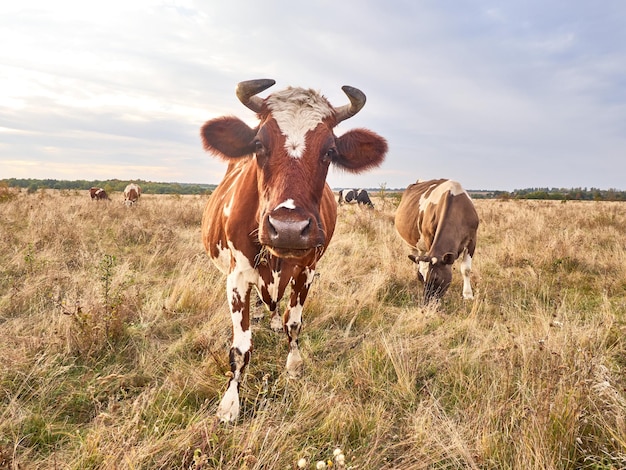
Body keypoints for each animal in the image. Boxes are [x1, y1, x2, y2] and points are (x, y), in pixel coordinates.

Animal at [200, 79, 386, 424]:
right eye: (259, 144)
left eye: (329, 151)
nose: (288, 227)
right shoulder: (236, 277)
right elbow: (240, 348)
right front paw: (230, 402)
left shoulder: (307, 270)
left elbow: (294, 323)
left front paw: (294, 364)